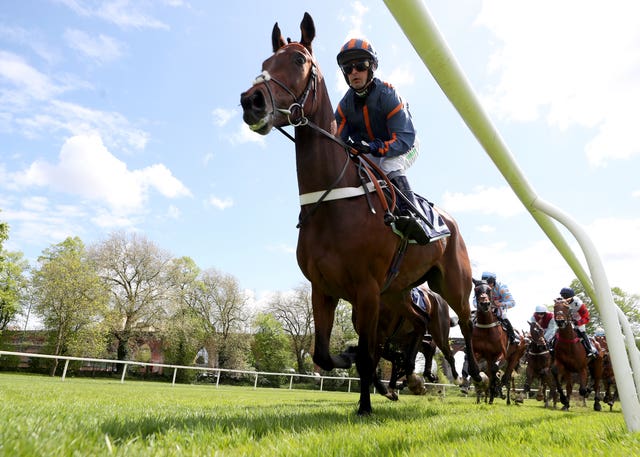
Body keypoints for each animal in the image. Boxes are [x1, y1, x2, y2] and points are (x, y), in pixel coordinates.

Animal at [240, 13, 480, 414]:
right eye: (265, 63)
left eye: (299, 60)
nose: (251, 101)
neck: (331, 202)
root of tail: (450, 221)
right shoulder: (323, 288)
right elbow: (325, 353)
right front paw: (353, 362)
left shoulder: (367, 290)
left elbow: (370, 354)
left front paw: (366, 405)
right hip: (398, 292)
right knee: (419, 325)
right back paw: (414, 377)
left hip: (452, 286)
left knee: (464, 325)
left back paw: (475, 376)